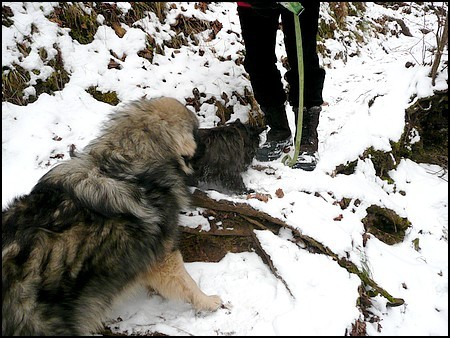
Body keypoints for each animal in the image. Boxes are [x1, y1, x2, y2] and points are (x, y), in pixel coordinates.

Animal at [2, 97, 223, 336]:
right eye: (197, 133)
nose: (210, 145)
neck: (131, 162)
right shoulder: (164, 256)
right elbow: (187, 283)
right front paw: (208, 301)